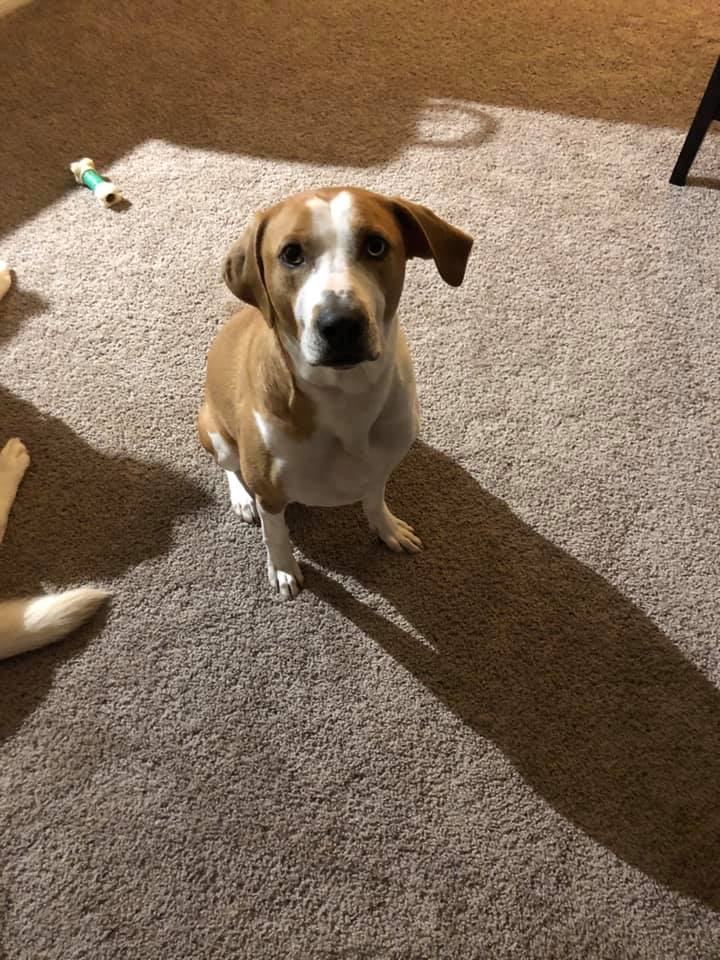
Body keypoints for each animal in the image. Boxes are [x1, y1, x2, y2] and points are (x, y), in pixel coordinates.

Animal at [197, 188, 472, 600]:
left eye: (376, 245)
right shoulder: (271, 494)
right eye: (292, 254)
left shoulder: (379, 468)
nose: (340, 324)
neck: (345, 396)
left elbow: (374, 502)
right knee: (230, 467)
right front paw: (283, 569)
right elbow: (275, 535)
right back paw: (242, 499)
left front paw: (387, 529)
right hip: (215, 432)